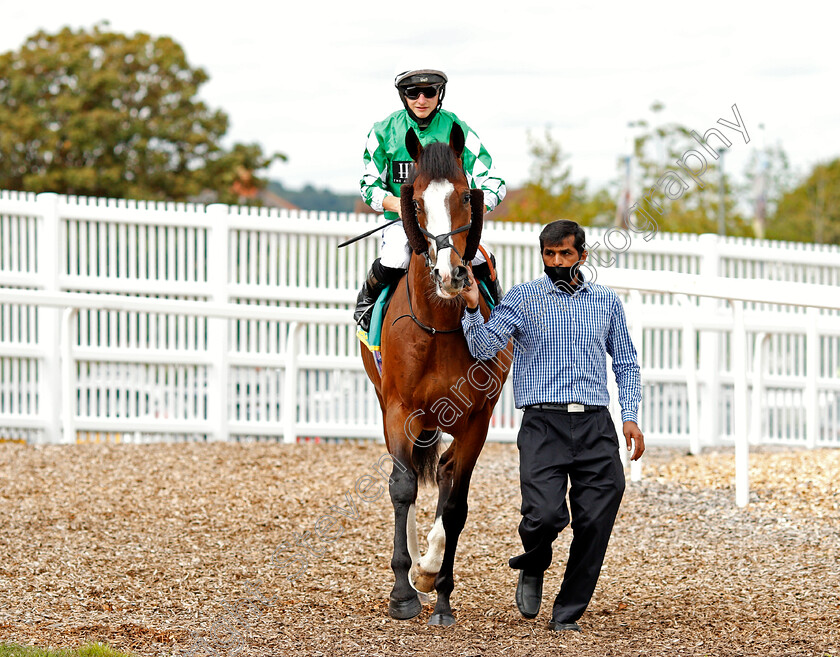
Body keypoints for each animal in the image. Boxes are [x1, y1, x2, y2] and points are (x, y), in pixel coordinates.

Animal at [358, 121, 508, 624]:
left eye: (464, 196)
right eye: (417, 200)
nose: (450, 275)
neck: (441, 326)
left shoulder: (477, 418)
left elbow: (456, 502)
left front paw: (437, 587)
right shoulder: (400, 410)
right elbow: (402, 488)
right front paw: (403, 591)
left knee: (443, 473)